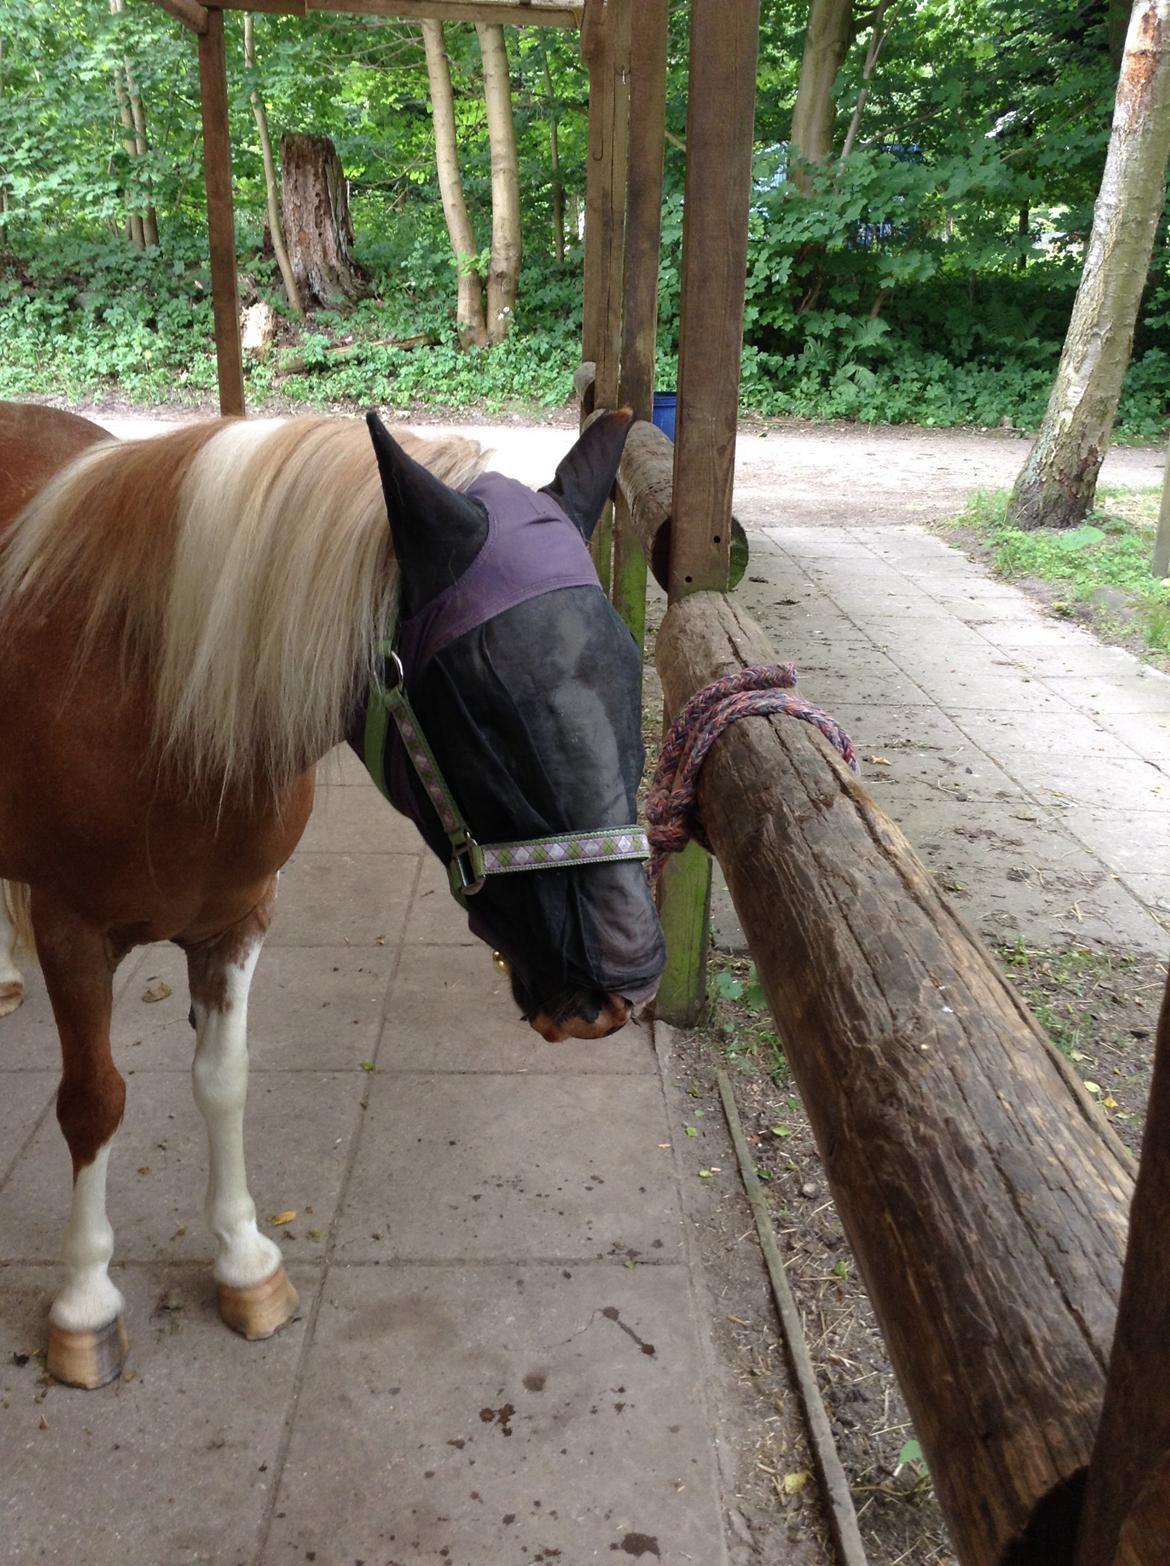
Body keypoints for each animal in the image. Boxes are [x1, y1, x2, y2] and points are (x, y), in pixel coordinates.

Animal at [0, 400, 664, 1384]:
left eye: (629, 665)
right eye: (479, 700)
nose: (618, 985)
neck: (151, 703)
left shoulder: (238, 921)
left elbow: (223, 1080)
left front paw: (244, 1262)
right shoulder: (71, 931)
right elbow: (94, 1101)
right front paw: (85, 1304)